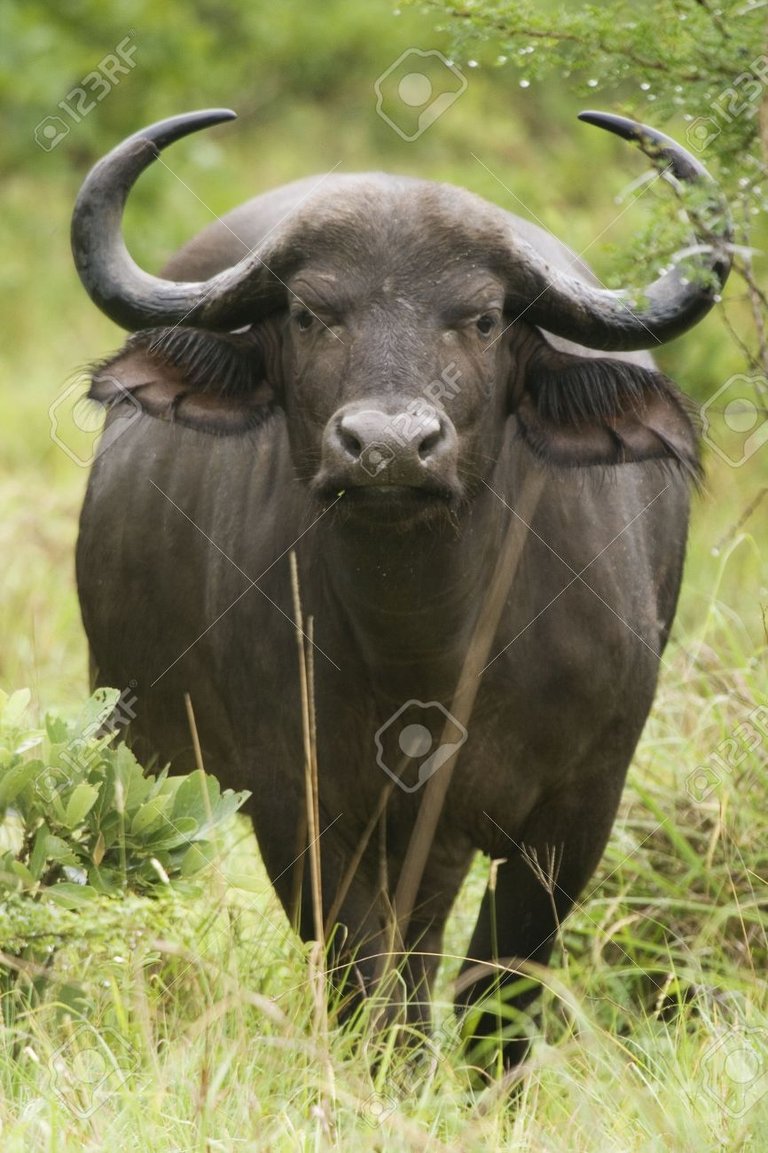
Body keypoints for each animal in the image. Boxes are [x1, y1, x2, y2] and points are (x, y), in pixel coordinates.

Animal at [71, 110, 728, 1069]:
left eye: (484, 318)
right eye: (310, 313)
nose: (386, 447)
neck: (425, 648)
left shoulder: (577, 810)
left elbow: (500, 993)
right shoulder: (301, 803)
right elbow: (362, 979)